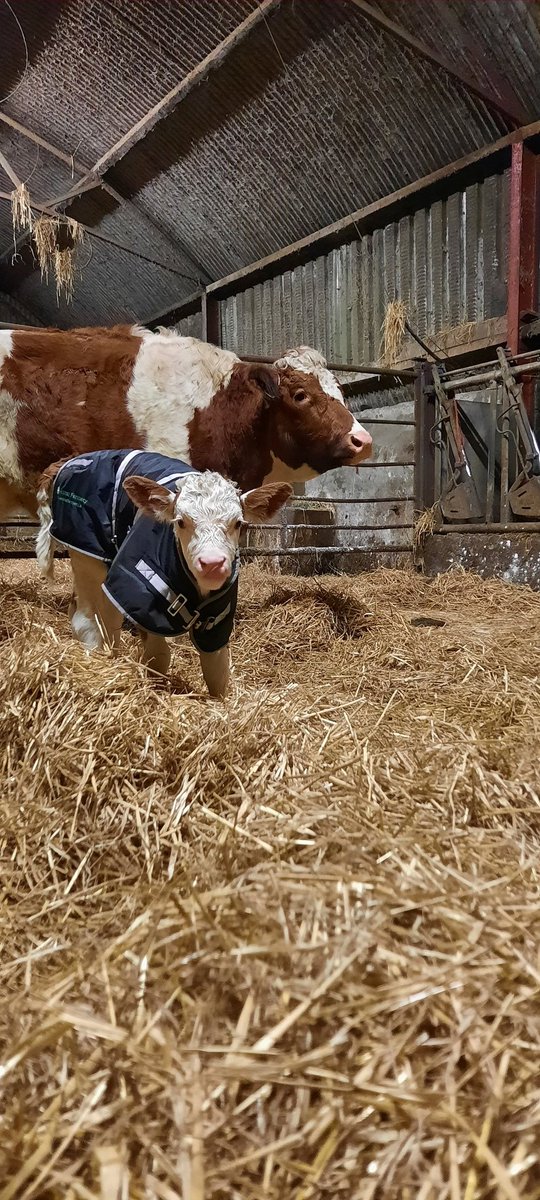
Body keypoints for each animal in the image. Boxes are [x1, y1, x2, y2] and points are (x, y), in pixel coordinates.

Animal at [36, 449, 293, 697]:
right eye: (180, 522)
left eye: (238, 523)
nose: (212, 563)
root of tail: (72, 459)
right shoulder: (144, 601)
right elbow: (159, 657)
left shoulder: (219, 615)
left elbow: (217, 670)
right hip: (87, 552)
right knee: (87, 618)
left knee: (104, 613)